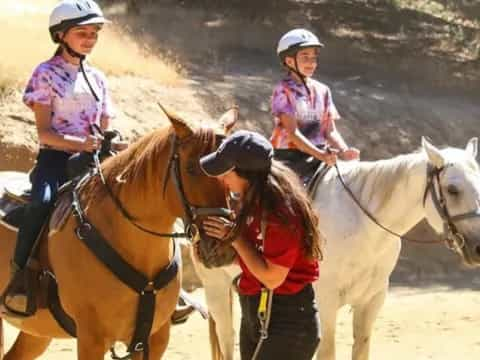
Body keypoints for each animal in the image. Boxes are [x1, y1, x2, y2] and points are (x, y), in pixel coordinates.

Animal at [0, 108, 236, 358]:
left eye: (230, 172)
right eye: (191, 168)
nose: (221, 249)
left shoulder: (156, 337)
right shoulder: (91, 339)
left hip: (38, 333)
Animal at [191, 138, 480, 360]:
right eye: (452, 189)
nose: (477, 248)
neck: (363, 223)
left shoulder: (372, 300)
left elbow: (361, 350)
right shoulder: (326, 301)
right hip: (215, 286)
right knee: (227, 340)